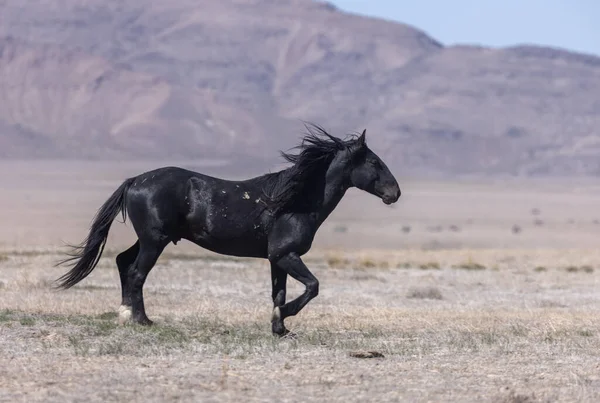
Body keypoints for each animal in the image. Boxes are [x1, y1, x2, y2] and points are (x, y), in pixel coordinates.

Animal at [56, 124, 400, 336]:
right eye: (373, 161)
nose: (394, 193)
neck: (295, 202)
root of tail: (135, 181)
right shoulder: (286, 255)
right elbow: (312, 287)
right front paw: (284, 317)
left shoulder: (277, 259)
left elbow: (278, 293)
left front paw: (279, 328)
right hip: (155, 242)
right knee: (137, 273)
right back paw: (142, 320)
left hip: (150, 240)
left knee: (123, 262)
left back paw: (125, 314)